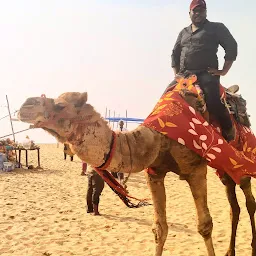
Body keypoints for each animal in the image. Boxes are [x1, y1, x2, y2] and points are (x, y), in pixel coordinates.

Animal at [18, 81, 256, 255]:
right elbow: (160, 228)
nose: (24, 107)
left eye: (60, 105)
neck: (158, 138)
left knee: (248, 197)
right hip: (223, 169)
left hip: (241, 154)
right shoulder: (154, 174)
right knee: (233, 205)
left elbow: (205, 225)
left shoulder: (195, 170)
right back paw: (230, 251)